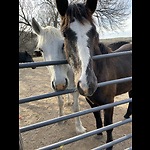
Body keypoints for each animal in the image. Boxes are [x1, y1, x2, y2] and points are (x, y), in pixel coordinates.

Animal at [56, 0, 131, 149]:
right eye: (65, 34)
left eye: (94, 32)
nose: (87, 84)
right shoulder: (91, 102)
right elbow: (97, 117)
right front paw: (99, 133)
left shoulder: (109, 103)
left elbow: (108, 125)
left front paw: (109, 144)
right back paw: (126, 116)